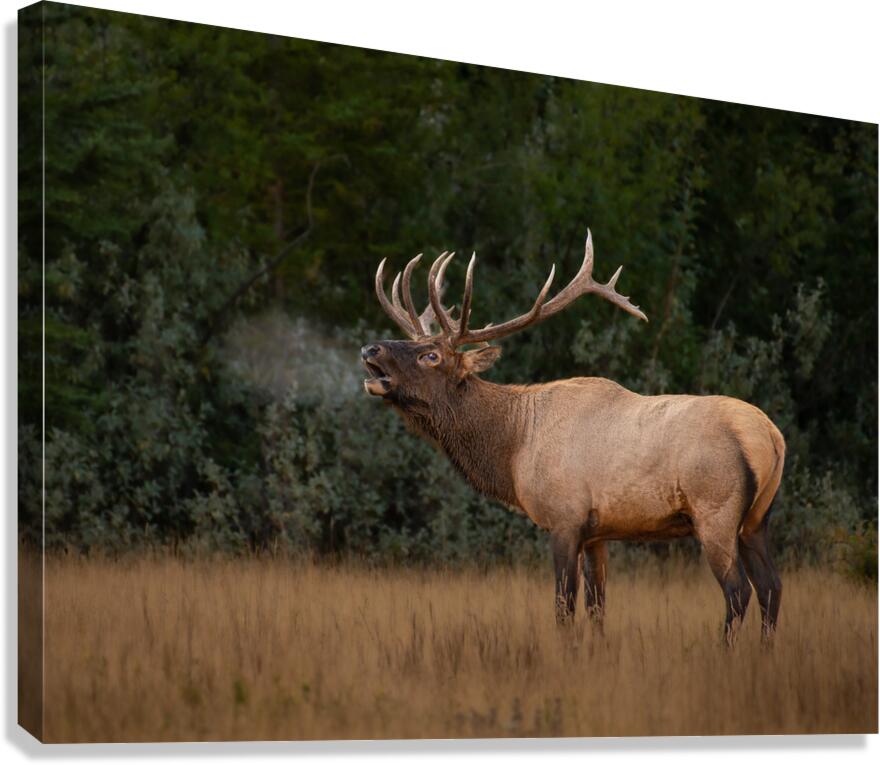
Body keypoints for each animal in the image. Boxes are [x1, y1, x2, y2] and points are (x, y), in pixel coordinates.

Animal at [361, 231, 785, 643]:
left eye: (431, 356)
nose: (370, 348)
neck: (514, 448)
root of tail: (770, 437)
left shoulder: (564, 518)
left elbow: (564, 608)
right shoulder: (598, 533)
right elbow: (598, 607)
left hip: (715, 510)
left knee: (739, 591)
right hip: (757, 519)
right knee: (772, 587)